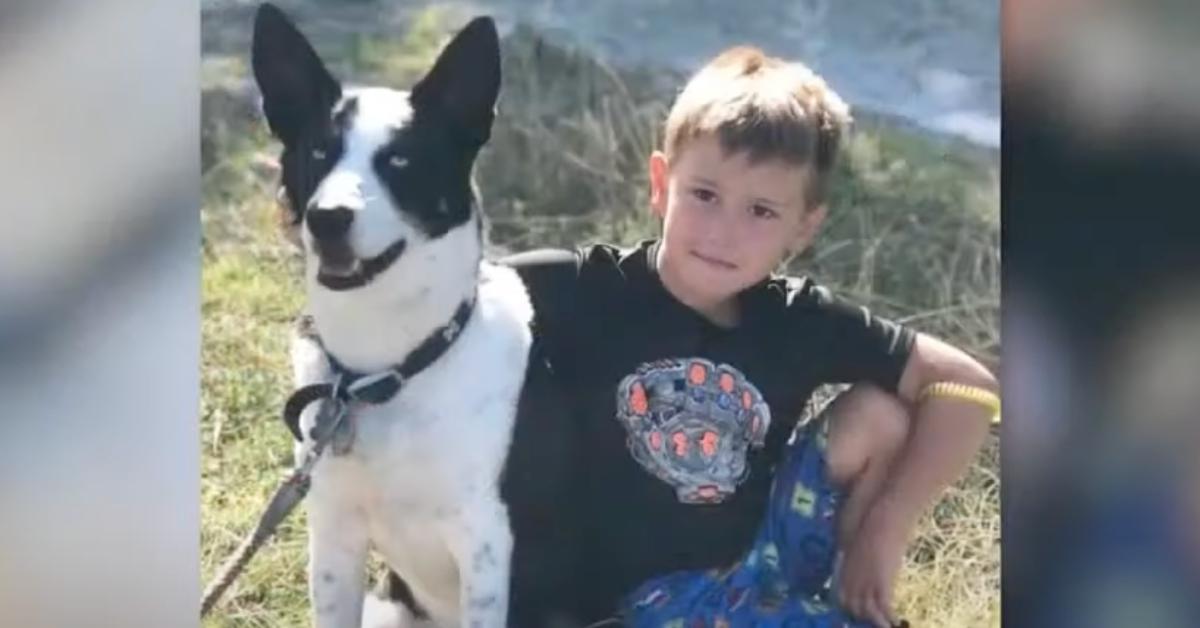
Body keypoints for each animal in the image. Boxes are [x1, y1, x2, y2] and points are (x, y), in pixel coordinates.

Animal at [253, 3, 585, 624]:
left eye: (400, 160)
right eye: (319, 153)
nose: (327, 218)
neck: (386, 371)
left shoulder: (486, 546)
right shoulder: (333, 537)